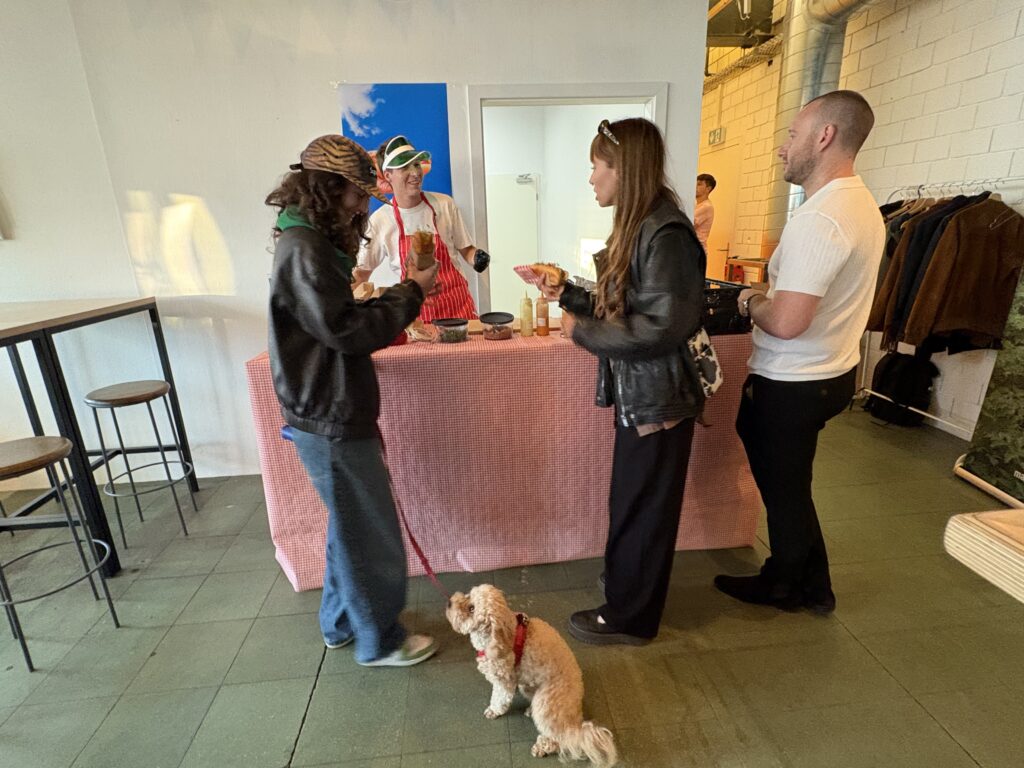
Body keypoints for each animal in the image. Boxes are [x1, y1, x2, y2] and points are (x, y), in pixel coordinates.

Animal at [445, 584, 618, 767]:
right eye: (468, 595)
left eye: (472, 609)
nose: (449, 602)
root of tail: (575, 723)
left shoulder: (504, 681)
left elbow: (499, 699)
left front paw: (494, 711)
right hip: (527, 686)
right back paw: (530, 711)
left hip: (546, 703)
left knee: (559, 738)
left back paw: (543, 746)